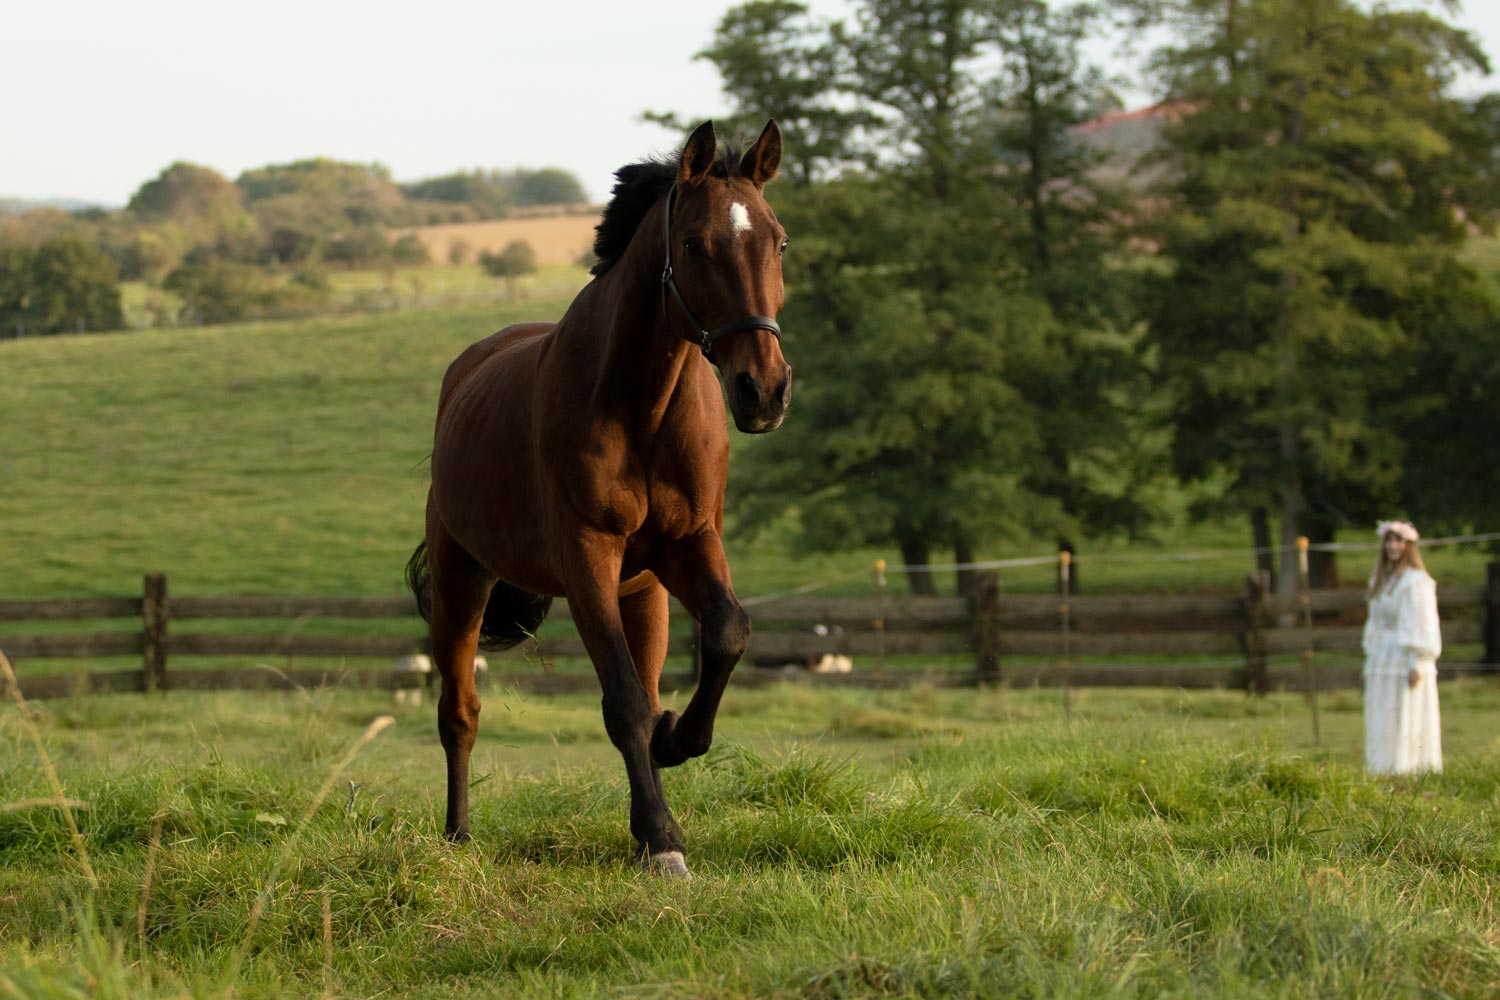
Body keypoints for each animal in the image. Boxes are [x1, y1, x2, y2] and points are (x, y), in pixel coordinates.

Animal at [406, 121, 791, 878]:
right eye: (694, 245)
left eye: (779, 241)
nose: (764, 391)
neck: (640, 405)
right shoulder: (588, 557)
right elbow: (622, 702)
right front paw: (663, 840)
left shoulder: (688, 546)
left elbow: (725, 635)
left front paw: (675, 745)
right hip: (463, 581)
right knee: (459, 710)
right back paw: (458, 836)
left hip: (642, 595)